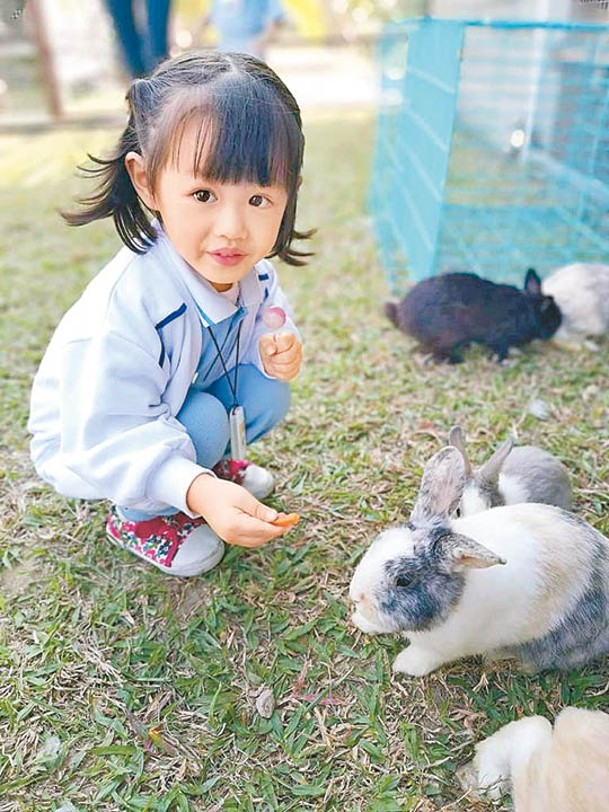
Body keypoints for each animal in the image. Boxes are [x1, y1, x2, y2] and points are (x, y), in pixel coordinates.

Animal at [384, 268, 560, 364]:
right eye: (552, 320)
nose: (554, 331)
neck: (528, 312)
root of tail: (402, 318)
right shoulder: (499, 339)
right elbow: (500, 351)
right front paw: (507, 361)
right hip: (450, 334)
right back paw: (457, 360)